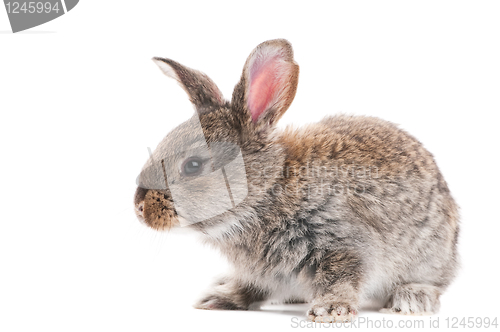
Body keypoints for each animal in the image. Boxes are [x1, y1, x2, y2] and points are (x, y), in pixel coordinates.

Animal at [134, 39, 460, 322]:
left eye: (192, 165)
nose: (138, 207)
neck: (267, 192)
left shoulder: (342, 243)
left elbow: (341, 277)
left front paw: (330, 310)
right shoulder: (259, 274)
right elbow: (250, 287)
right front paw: (220, 297)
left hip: (428, 256)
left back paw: (412, 297)